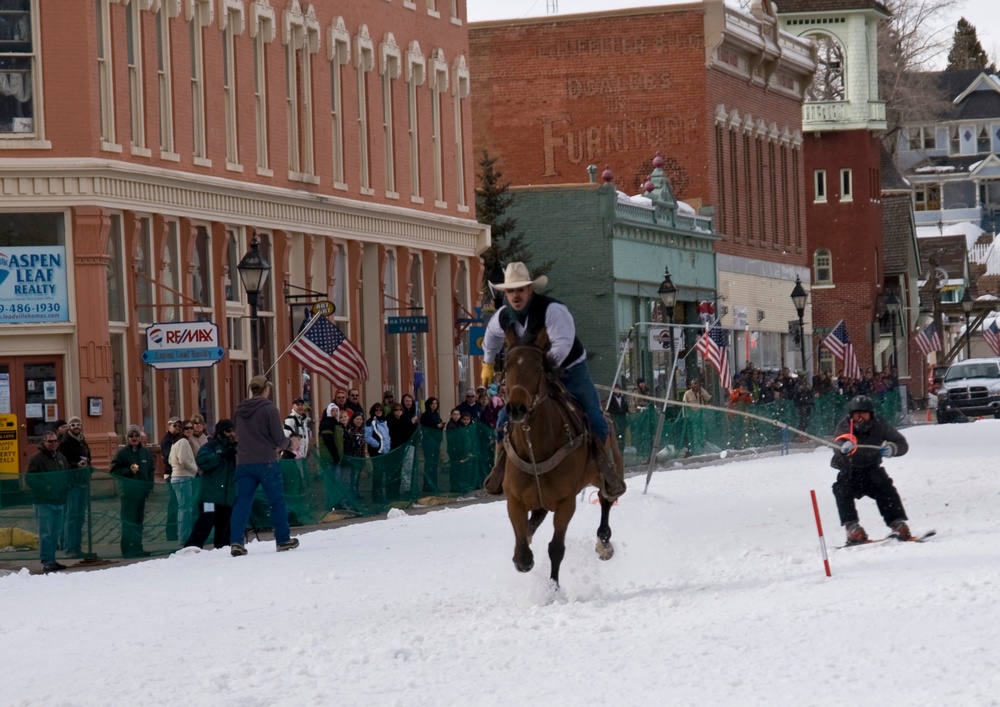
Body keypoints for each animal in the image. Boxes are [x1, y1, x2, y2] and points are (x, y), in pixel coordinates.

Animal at [498, 330, 620, 588]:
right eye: (507, 365)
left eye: (538, 367)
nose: (517, 408)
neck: (537, 448)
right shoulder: (514, 498)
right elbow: (522, 550)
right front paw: (521, 555)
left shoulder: (566, 502)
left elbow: (556, 548)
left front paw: (553, 588)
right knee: (537, 518)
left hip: (610, 469)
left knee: (606, 498)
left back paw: (604, 543)